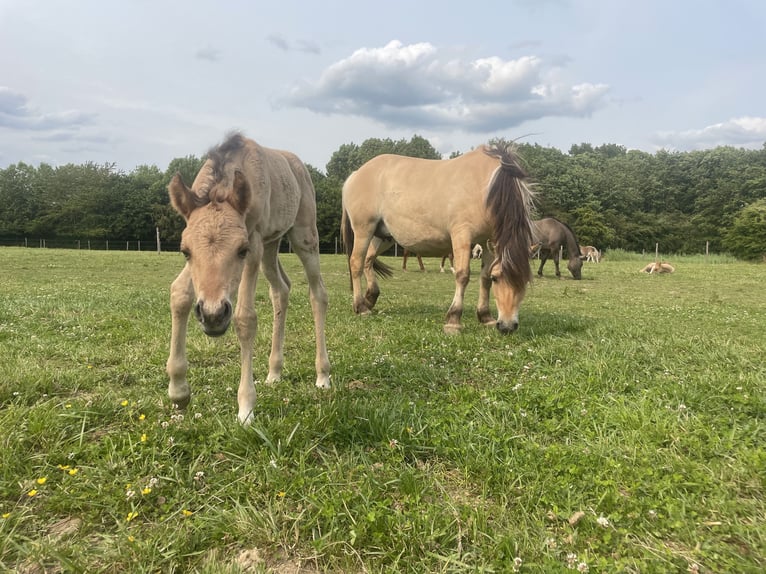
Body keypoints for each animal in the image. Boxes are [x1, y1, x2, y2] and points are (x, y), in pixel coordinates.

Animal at [166, 133, 331, 424]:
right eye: (185, 251)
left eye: (240, 250)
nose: (212, 315)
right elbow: (179, 294)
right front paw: (179, 392)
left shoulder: (253, 244)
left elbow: (245, 318)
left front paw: (245, 409)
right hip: (272, 243)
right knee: (281, 289)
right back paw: (274, 372)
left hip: (303, 235)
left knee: (318, 293)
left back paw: (322, 375)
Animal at [341, 143, 535, 335]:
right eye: (497, 279)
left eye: (525, 281)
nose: (507, 326)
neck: (486, 187)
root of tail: (356, 174)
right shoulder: (461, 235)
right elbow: (463, 275)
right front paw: (453, 320)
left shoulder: (488, 241)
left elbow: (484, 277)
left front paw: (485, 316)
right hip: (364, 230)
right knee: (356, 262)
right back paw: (360, 306)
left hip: (381, 237)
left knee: (368, 260)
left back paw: (370, 299)